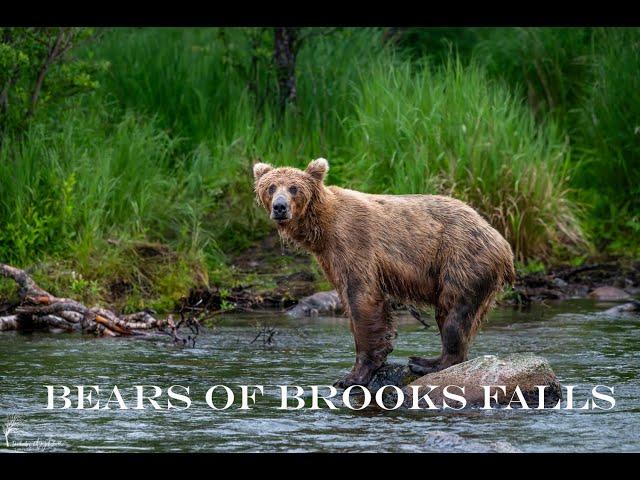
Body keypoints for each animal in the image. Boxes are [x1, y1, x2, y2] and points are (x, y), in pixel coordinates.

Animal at [254, 159, 516, 388]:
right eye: (271, 187)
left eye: (294, 188)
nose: (280, 207)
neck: (322, 229)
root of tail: (502, 241)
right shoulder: (330, 259)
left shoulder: (354, 243)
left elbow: (363, 299)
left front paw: (353, 375)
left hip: (462, 258)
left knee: (452, 310)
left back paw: (426, 363)